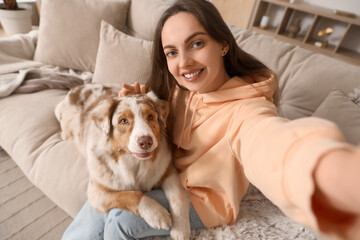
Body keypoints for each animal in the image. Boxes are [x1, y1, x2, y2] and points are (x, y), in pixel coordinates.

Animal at [54, 83, 190, 239]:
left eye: (150, 116)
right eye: (123, 121)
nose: (145, 142)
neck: (134, 162)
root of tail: (75, 89)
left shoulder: (168, 171)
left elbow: (178, 197)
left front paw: (181, 229)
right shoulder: (96, 194)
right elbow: (130, 194)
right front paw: (157, 214)